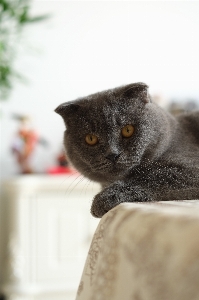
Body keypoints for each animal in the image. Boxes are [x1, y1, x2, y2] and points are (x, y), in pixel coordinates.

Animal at [54, 83, 199, 217]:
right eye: (91, 139)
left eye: (128, 130)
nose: (112, 154)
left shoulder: (190, 168)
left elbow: (153, 176)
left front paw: (103, 199)